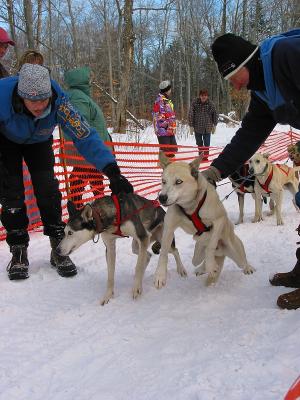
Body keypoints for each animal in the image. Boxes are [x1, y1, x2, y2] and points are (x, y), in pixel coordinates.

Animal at [57, 193, 186, 304]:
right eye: (64, 232)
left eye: (70, 233)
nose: (57, 250)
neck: (103, 215)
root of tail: (163, 212)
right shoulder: (110, 247)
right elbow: (110, 276)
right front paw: (108, 296)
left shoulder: (143, 237)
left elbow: (138, 267)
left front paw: (136, 288)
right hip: (136, 246)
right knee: (147, 256)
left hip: (161, 240)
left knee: (174, 251)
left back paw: (181, 270)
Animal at [155, 152, 255, 290]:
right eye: (163, 181)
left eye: (178, 181)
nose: (162, 197)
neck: (190, 207)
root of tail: (222, 252)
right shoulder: (169, 228)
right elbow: (163, 253)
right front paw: (160, 275)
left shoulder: (219, 220)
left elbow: (211, 247)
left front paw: (211, 266)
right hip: (198, 253)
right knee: (198, 260)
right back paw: (203, 268)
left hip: (236, 252)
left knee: (242, 261)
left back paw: (247, 268)